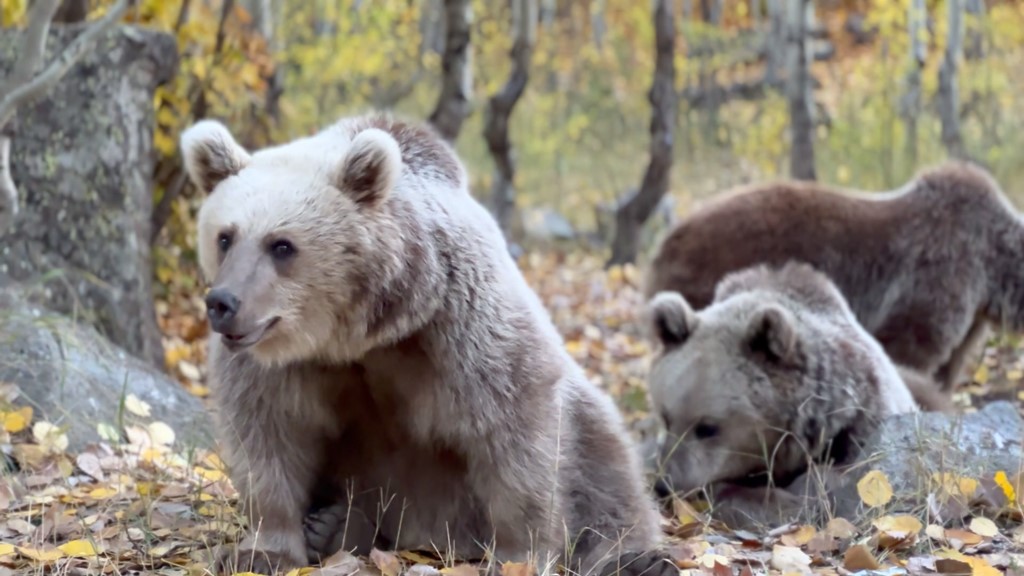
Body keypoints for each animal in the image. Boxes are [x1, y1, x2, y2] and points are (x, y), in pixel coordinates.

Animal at [179, 113, 667, 573]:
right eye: (225, 237)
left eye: (281, 245)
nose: (223, 302)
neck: (357, 334)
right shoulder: (276, 366)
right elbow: (267, 439)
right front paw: (261, 552)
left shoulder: (459, 326)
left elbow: (516, 434)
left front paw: (517, 558)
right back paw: (334, 526)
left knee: (607, 461)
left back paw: (636, 557)